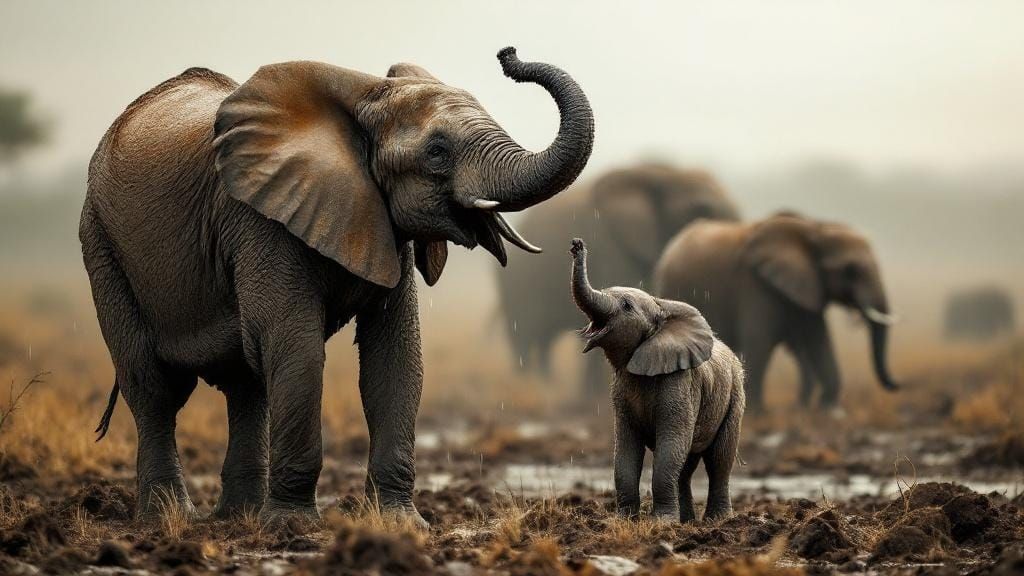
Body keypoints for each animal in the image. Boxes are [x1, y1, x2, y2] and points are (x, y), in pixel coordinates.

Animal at [80, 47, 594, 525]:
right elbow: (298, 347)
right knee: (153, 386)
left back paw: (238, 519)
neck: (365, 94)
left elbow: (395, 356)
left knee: (247, 382)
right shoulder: (260, 218)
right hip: (101, 243)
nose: (508, 54)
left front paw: (400, 524)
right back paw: (171, 518)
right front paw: (294, 529)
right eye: (436, 152)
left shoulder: (382, 224)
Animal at [569, 239, 744, 522]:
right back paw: (687, 521)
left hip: (735, 397)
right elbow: (626, 451)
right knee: (686, 464)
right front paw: (625, 520)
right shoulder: (621, 392)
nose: (576, 244)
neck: (660, 306)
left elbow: (669, 447)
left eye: (627, 306)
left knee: (719, 460)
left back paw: (716, 521)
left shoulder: (679, 383)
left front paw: (661, 523)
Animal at [654, 213, 899, 412]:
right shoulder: (755, 284)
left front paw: (826, 408)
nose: (898, 385)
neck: (814, 229)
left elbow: (819, 340)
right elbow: (759, 340)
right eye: (850, 271)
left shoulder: (808, 285)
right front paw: (757, 413)